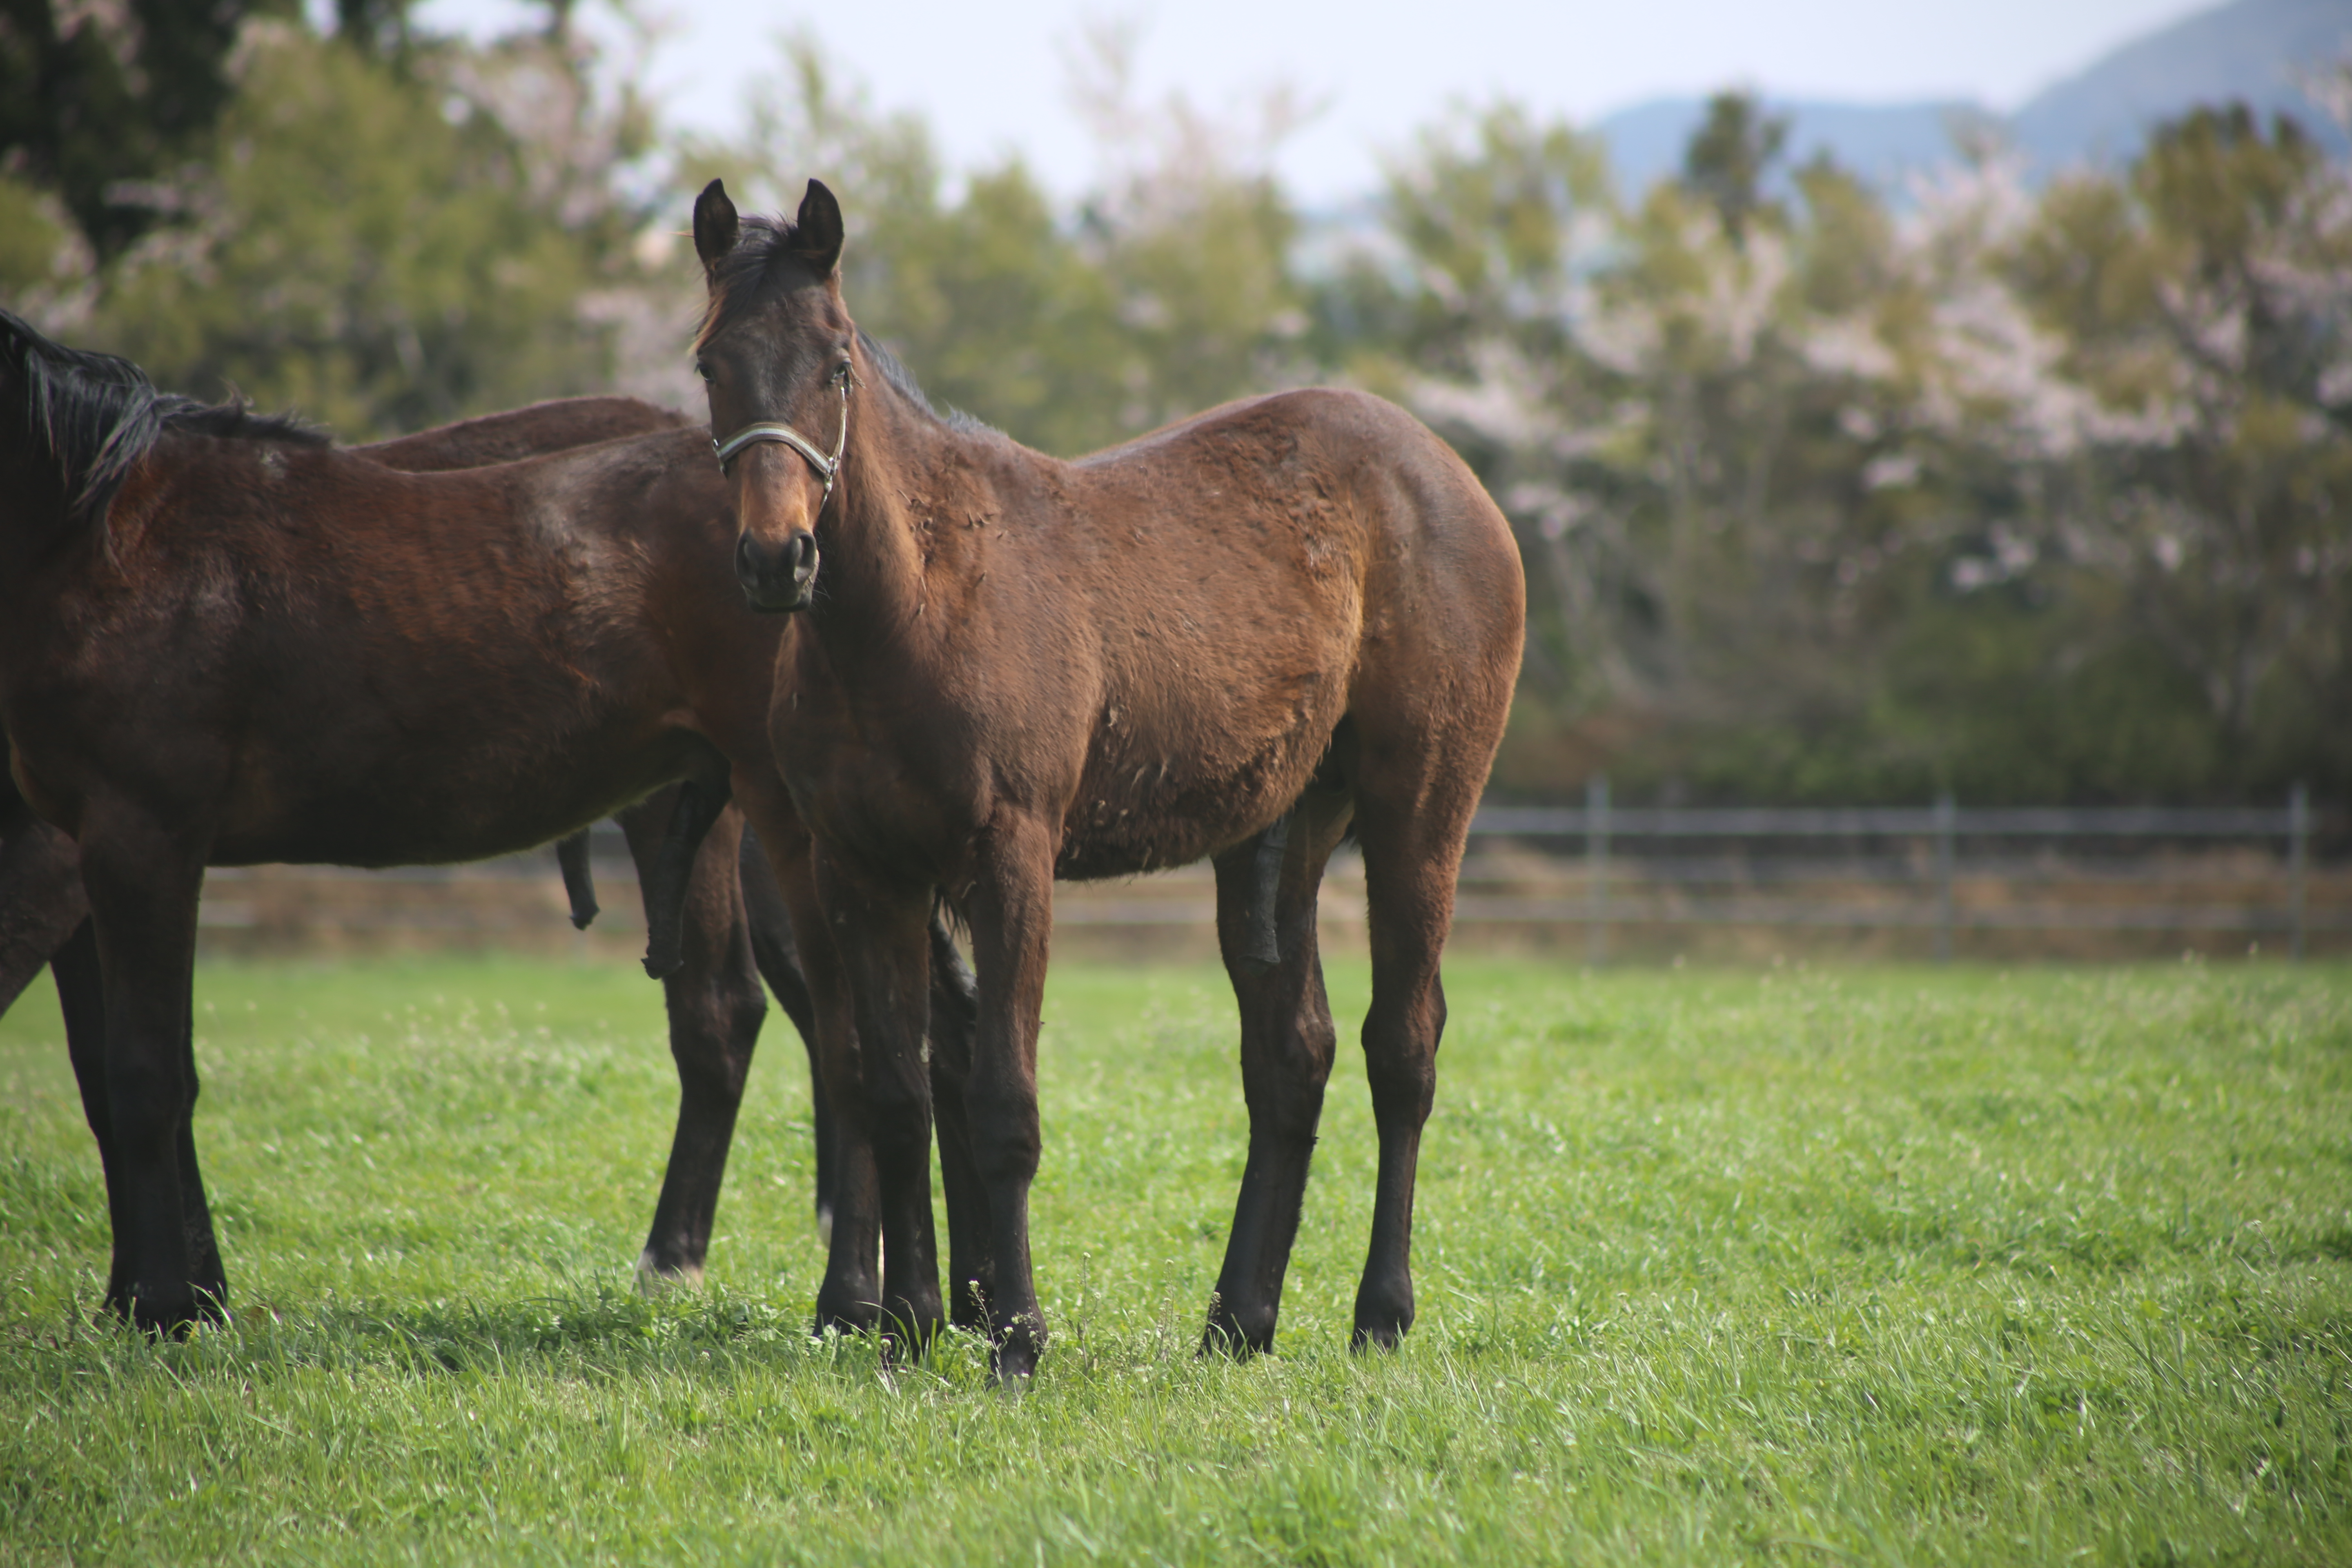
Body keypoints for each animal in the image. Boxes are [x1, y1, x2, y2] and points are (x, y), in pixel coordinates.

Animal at [0, 312, 964, 1335]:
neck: (109, 532)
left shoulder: (127, 838)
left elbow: (144, 1077)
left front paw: (162, 1304)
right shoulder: (96, 858)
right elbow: (108, 1075)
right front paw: (163, 1291)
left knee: (828, 1029)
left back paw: (836, 1294)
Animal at [686, 181, 1524, 1373]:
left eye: (836, 363)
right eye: (711, 363)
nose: (776, 559)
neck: (916, 605)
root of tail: (1452, 476)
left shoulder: (1012, 859)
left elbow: (1004, 1105)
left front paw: (1017, 1341)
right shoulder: (864, 871)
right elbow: (893, 1095)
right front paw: (905, 1330)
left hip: (1422, 811)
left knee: (1401, 1047)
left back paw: (1380, 1314)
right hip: (1279, 831)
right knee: (1291, 1052)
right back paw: (1238, 1320)